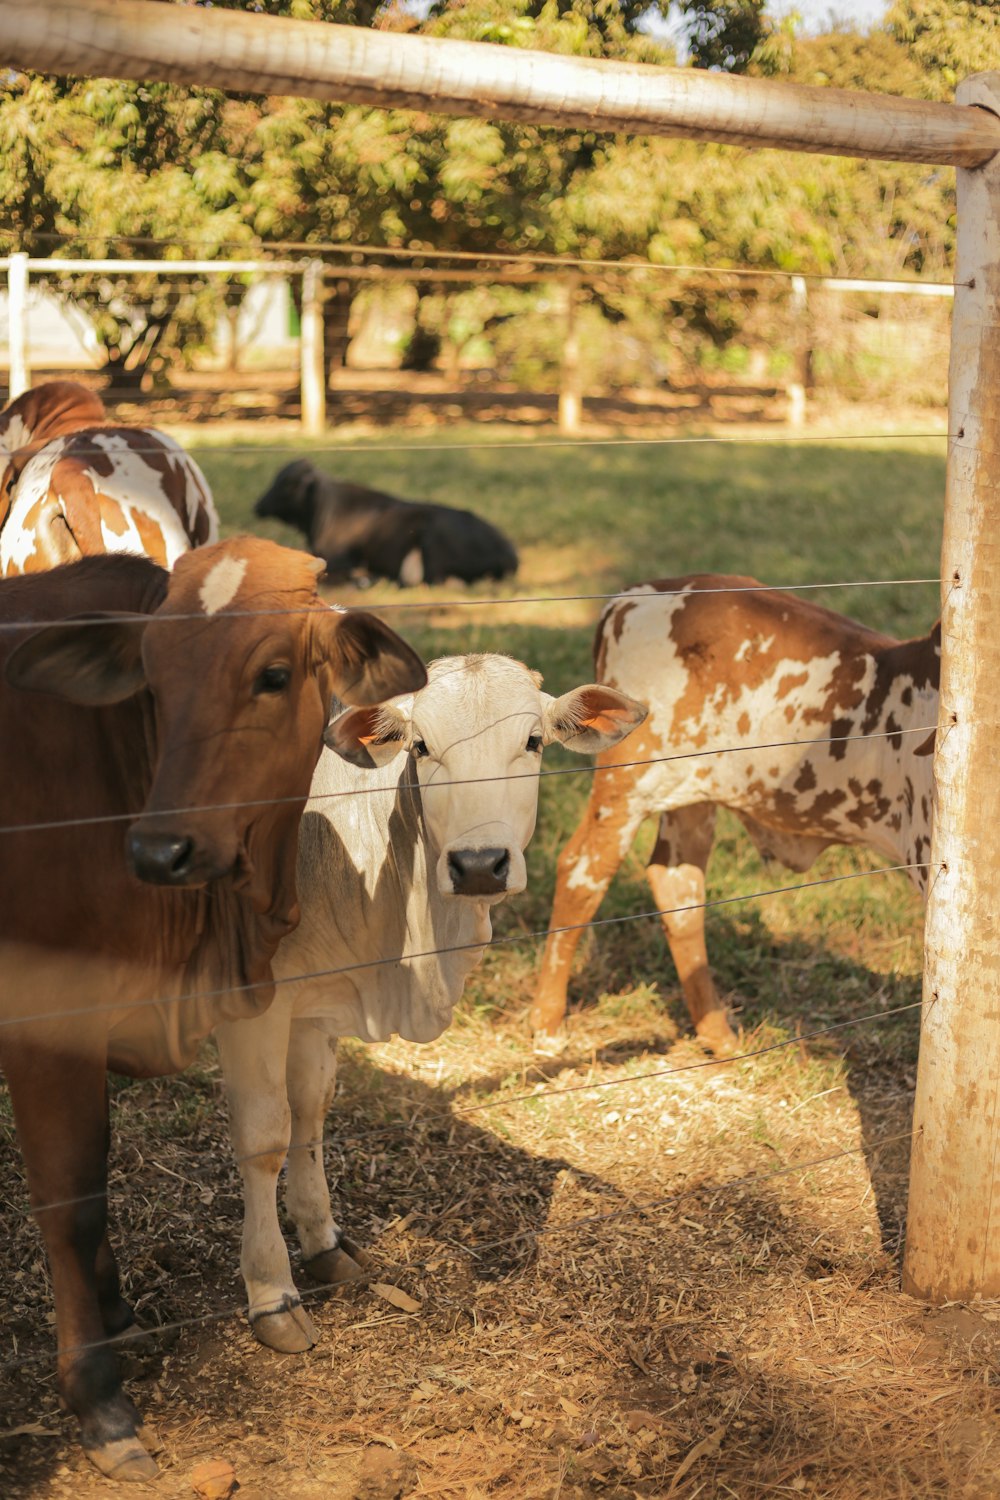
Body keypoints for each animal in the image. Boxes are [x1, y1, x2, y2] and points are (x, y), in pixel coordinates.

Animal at [0, 537, 425, 1476]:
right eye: (152, 676)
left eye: (273, 674)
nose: (161, 850)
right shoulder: (46, 1027)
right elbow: (71, 1197)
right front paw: (99, 1397)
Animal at [214, 651, 644, 1356]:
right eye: (420, 746)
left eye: (534, 741)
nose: (480, 864)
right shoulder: (251, 1002)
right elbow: (265, 1139)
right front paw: (272, 1293)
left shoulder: (315, 1002)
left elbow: (310, 1114)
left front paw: (323, 1243)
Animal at [527, 573, 941, 1056]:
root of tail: (631, 596)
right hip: (627, 783)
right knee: (582, 874)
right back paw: (547, 1023)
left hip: (690, 796)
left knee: (678, 887)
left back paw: (718, 1034)